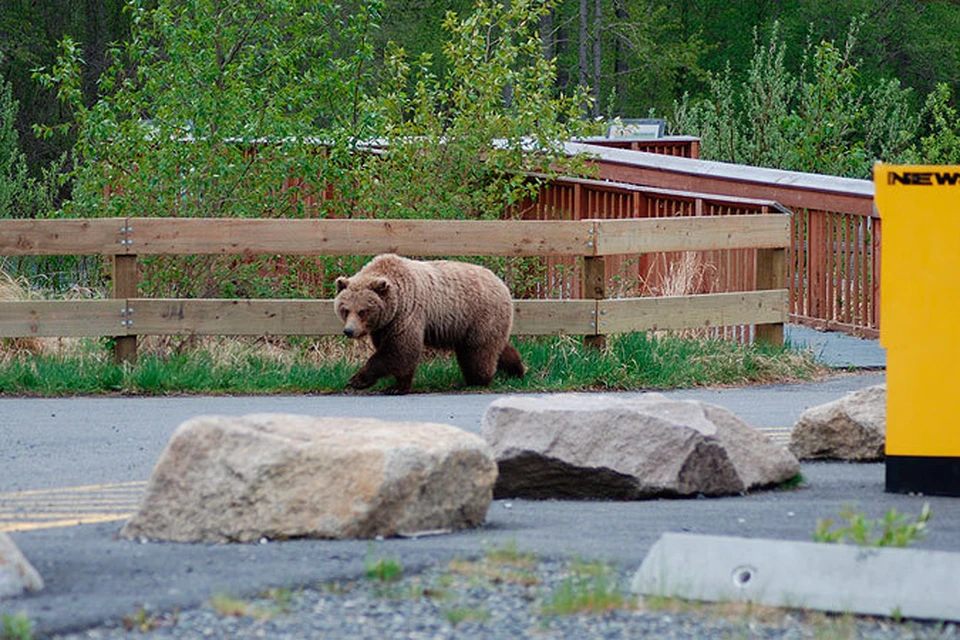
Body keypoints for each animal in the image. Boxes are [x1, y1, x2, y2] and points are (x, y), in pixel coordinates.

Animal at [330, 252, 524, 392]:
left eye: (362, 311)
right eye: (345, 309)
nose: (349, 331)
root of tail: (502, 284)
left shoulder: (407, 314)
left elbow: (400, 349)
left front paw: (358, 380)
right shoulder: (385, 325)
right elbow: (395, 351)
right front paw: (398, 384)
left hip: (480, 316)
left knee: (478, 352)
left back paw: (475, 381)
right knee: (497, 347)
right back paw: (517, 370)